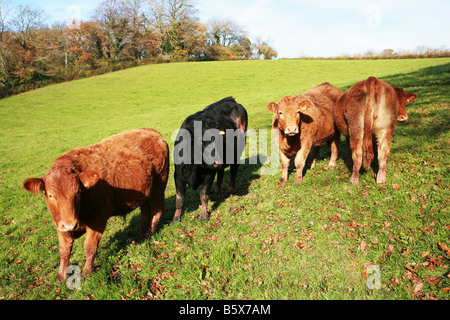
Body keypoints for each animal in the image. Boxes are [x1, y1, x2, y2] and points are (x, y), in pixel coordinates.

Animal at [22, 128, 169, 280]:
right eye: (51, 195)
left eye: (78, 191)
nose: (70, 225)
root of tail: (152, 132)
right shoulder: (60, 225)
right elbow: (64, 250)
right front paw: (61, 275)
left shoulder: (98, 220)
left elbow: (90, 247)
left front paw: (87, 271)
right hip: (145, 193)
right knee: (146, 212)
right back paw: (141, 236)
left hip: (159, 186)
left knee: (157, 210)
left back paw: (151, 233)